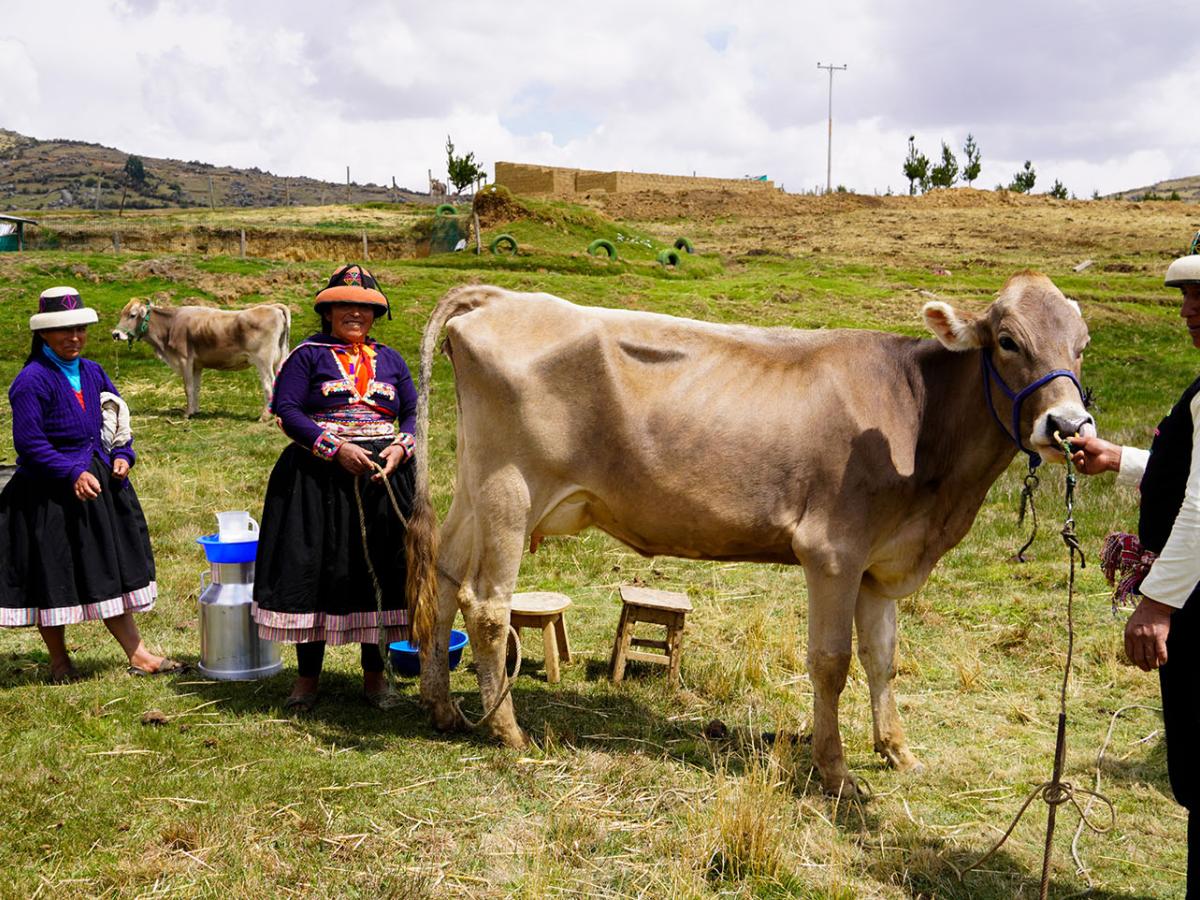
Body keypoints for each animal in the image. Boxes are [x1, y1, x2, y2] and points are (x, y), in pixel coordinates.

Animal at [112, 300, 290, 420]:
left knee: (268, 386)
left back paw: (264, 417)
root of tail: (273, 307)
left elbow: (188, 387)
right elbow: (196, 388)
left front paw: (187, 413)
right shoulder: (197, 365)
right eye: (121, 314)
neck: (170, 326)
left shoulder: (184, 359)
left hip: (263, 361)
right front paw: (195, 410)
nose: (115, 334)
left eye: (132, 315)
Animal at [405, 274, 1099, 796]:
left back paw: (441, 706)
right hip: (510, 488)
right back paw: (509, 732)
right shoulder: (832, 552)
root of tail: (501, 299)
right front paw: (836, 773)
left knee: (442, 576)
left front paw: (896, 750)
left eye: (1082, 345)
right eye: (1007, 340)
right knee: (487, 604)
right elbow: (831, 662)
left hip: (474, 483)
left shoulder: (880, 566)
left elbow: (882, 658)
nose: (1068, 426)